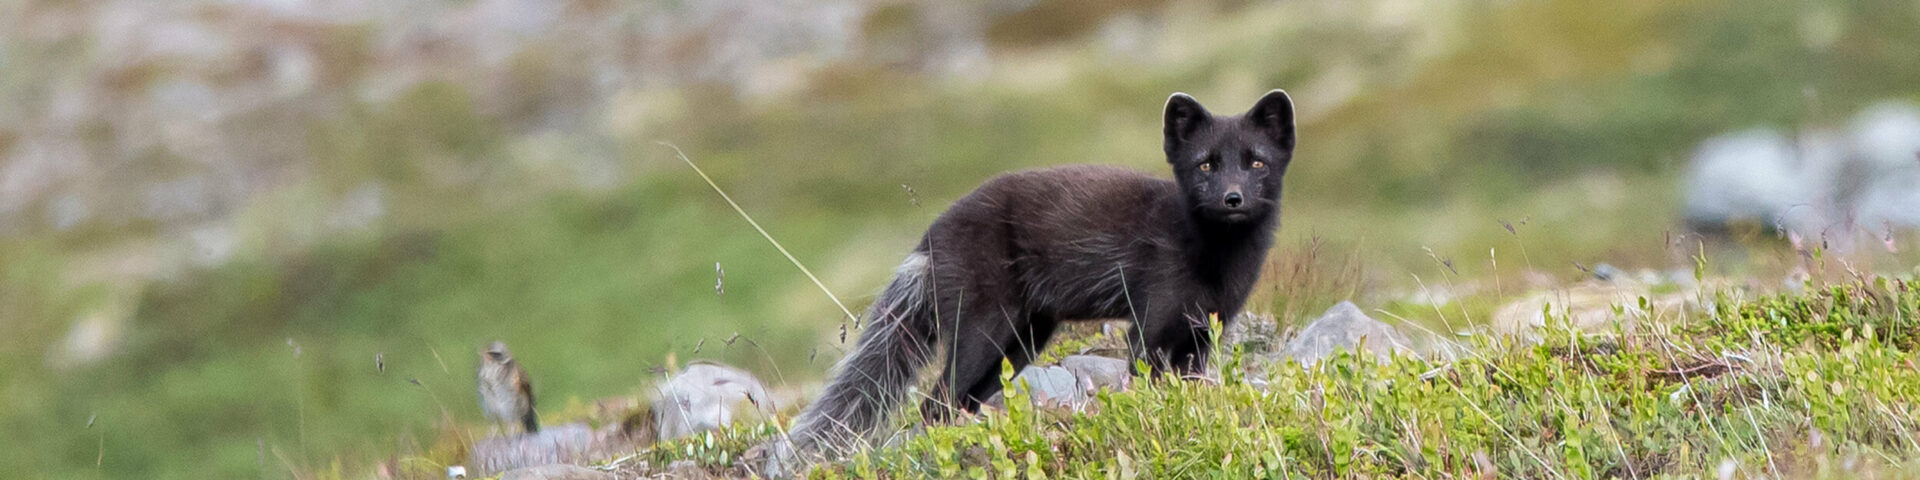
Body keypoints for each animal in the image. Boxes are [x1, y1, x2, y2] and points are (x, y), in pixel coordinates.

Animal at [772, 90, 1296, 469]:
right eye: (1205, 163)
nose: (1232, 198)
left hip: (1024, 339)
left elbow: (1190, 384)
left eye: (1257, 162)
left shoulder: (1204, 331)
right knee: (934, 404)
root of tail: (929, 237)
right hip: (983, 328)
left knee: (959, 402)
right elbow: (1142, 383)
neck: (1214, 263)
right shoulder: (1148, 323)